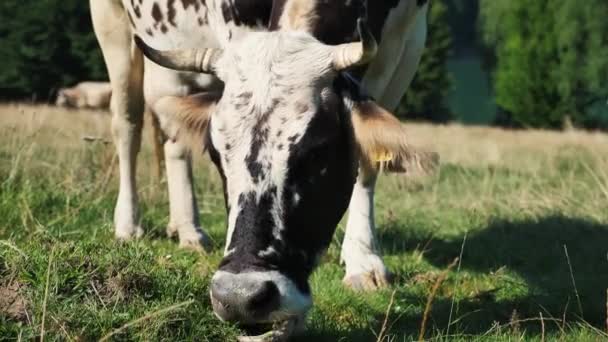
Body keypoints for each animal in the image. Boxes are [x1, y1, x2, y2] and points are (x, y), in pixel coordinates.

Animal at [90, 0, 432, 340]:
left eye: (319, 150)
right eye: (216, 155)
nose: (239, 297)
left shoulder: (408, 38)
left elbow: (369, 160)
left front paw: (363, 261)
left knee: (174, 139)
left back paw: (187, 228)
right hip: (112, 25)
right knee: (128, 125)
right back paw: (129, 224)